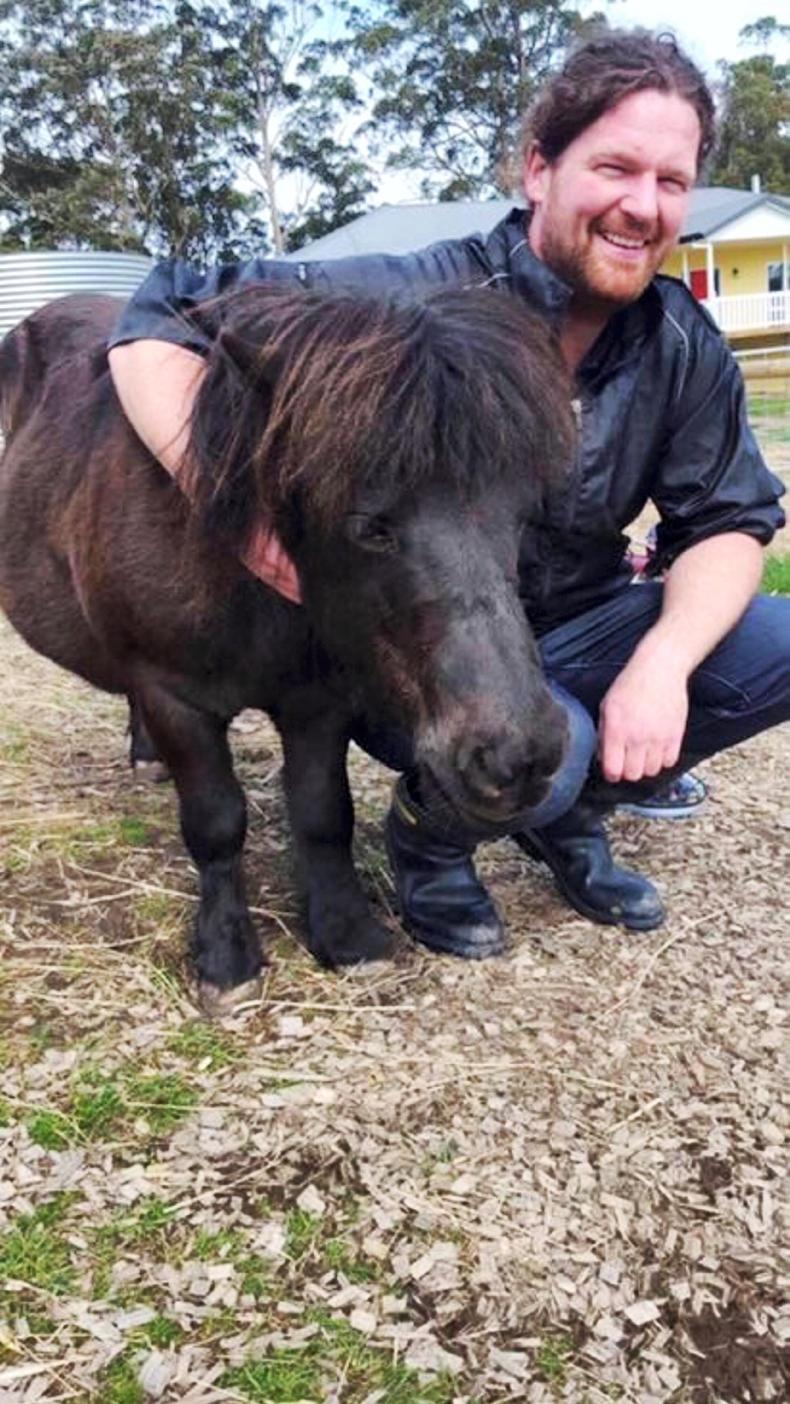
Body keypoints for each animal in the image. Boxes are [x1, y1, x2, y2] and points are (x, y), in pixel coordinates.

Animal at [0, 284, 574, 1010]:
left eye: (524, 516)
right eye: (369, 526)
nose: (520, 756)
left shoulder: (320, 703)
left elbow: (324, 814)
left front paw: (347, 934)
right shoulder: (172, 696)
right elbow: (216, 823)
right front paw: (226, 956)